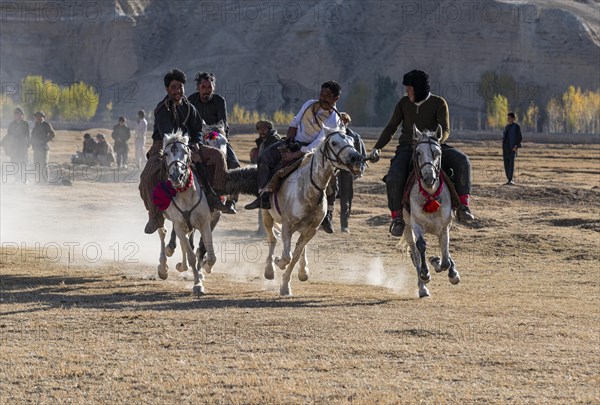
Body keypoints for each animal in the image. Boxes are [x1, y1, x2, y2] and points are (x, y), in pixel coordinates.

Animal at [157, 131, 218, 296]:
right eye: (166, 153)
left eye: (185, 152)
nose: (176, 176)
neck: (185, 193)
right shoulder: (178, 225)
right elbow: (191, 256)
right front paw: (197, 285)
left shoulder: (204, 224)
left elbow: (211, 256)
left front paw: (204, 268)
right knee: (163, 233)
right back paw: (163, 267)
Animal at [262, 128, 364, 296]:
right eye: (334, 142)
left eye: (351, 140)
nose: (357, 158)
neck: (307, 190)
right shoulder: (287, 226)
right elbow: (287, 255)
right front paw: (278, 263)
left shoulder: (311, 230)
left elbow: (295, 255)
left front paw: (285, 285)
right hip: (267, 216)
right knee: (272, 239)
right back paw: (269, 270)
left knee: (299, 247)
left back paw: (303, 271)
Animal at [406, 124, 462, 298]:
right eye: (418, 152)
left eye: (438, 153)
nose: (429, 178)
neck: (430, 194)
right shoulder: (416, 225)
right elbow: (422, 246)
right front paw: (426, 274)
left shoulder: (444, 227)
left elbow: (446, 258)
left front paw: (450, 271)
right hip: (406, 228)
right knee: (415, 254)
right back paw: (422, 287)